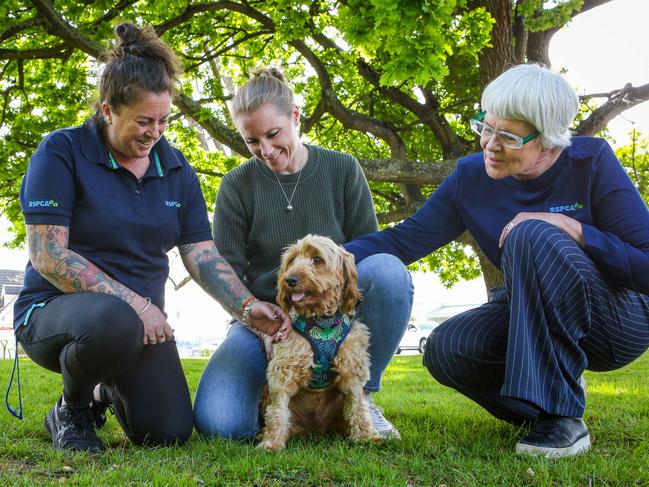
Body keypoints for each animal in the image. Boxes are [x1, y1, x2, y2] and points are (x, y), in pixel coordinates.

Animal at [256, 234, 374, 452]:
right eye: (292, 259)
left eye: (317, 259)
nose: (289, 279)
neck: (321, 320)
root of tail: (315, 428)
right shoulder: (283, 370)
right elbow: (277, 411)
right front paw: (272, 442)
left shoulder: (352, 367)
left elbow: (357, 405)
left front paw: (365, 436)